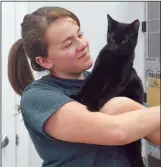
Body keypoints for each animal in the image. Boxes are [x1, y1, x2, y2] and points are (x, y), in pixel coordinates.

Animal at [71, 15, 145, 167]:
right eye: (112, 38)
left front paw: (92, 105)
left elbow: (105, 92)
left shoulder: (118, 82)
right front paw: (77, 97)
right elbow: (86, 86)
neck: (113, 59)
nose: (115, 47)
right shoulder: (96, 74)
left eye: (124, 40)